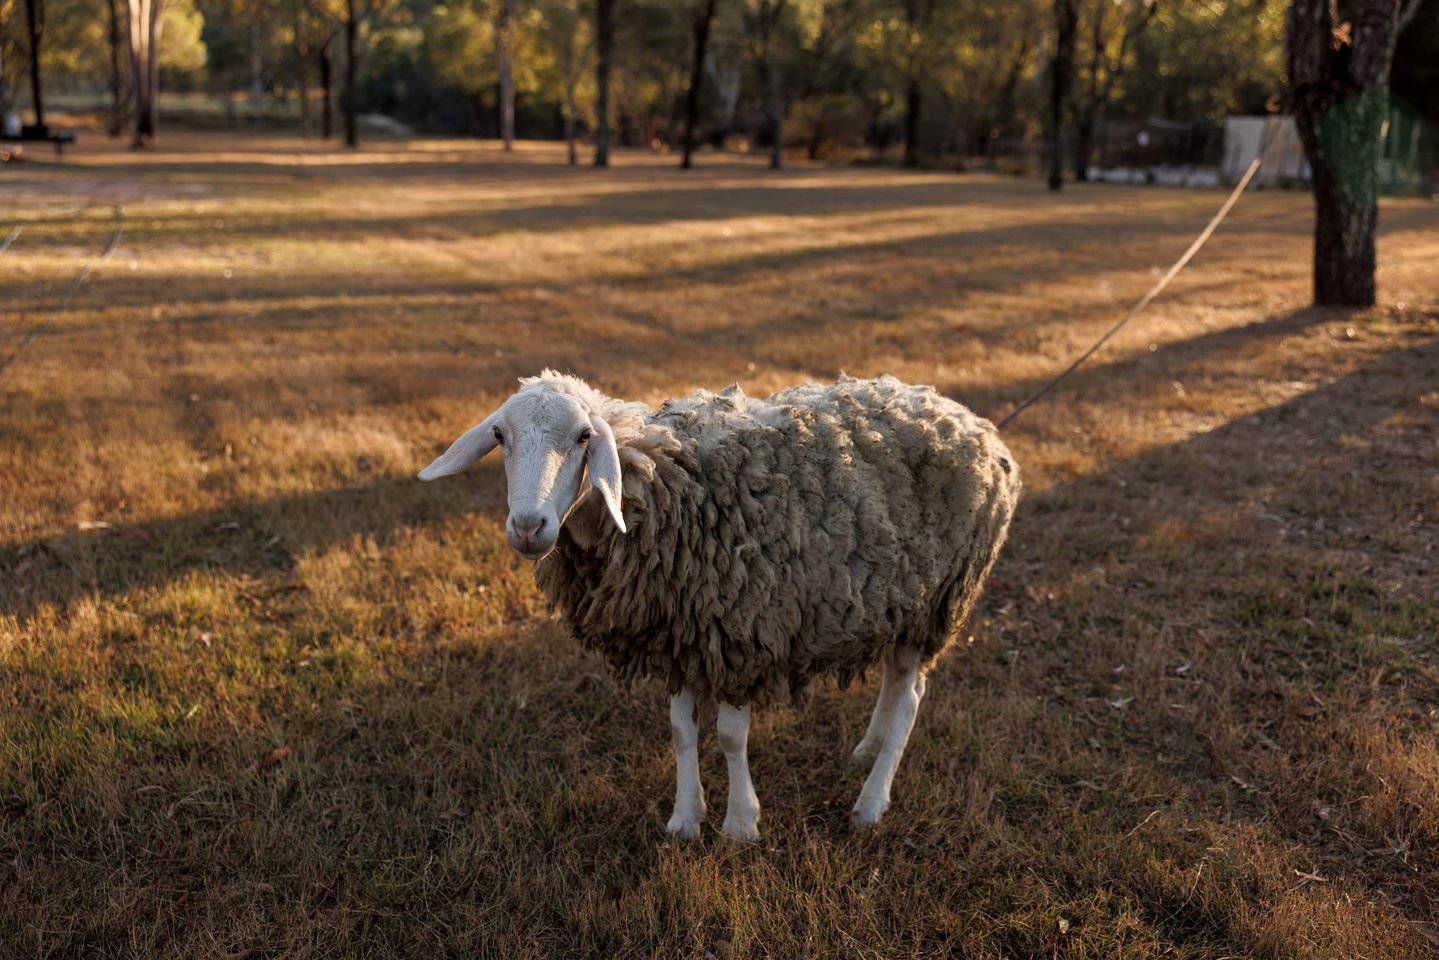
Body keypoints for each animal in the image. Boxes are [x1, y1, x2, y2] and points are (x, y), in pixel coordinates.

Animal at [420, 371, 1024, 834]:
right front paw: (686, 819)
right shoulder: (678, 635)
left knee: (912, 699)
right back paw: (866, 750)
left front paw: (740, 823)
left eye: (584, 436)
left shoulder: (741, 633)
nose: (528, 527)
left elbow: (732, 739)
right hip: (898, 599)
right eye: (500, 435)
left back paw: (872, 801)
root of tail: (971, 420)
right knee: (897, 683)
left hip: (941, 597)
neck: (660, 483)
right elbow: (681, 731)